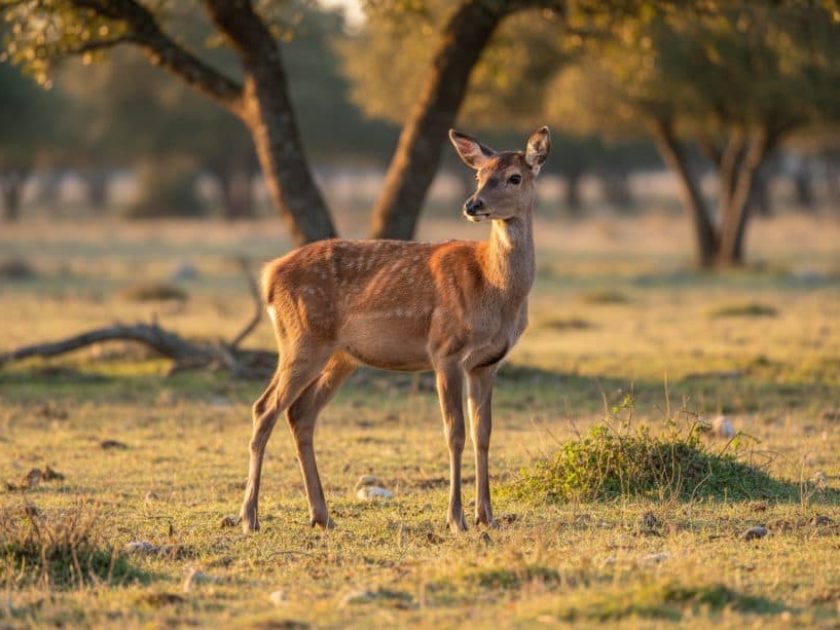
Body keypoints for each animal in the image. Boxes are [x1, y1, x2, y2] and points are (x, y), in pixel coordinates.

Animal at [239, 126, 550, 534]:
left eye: (514, 177)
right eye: (479, 176)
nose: (473, 205)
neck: (493, 288)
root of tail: (269, 276)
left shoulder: (487, 363)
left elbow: (483, 434)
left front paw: (487, 516)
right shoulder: (445, 350)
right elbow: (455, 433)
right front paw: (456, 519)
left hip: (339, 356)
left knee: (301, 414)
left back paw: (321, 515)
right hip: (301, 340)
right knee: (264, 408)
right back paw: (250, 517)